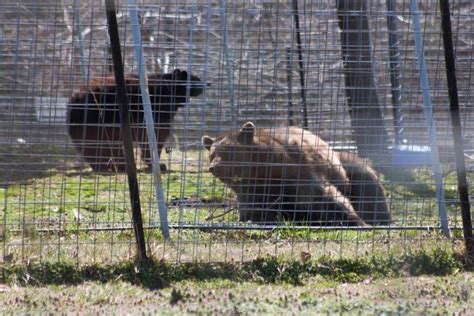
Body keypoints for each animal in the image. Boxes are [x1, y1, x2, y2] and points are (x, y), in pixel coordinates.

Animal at [67, 69, 206, 173]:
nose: (207, 84)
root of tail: (74, 98)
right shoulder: (156, 109)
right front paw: (157, 164)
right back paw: (112, 165)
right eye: (197, 79)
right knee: (98, 143)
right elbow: (155, 135)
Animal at [202, 121, 390, 227]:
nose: (213, 167)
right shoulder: (251, 190)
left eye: (228, 150)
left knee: (367, 183)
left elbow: (323, 197)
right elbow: (254, 209)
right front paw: (254, 219)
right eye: (212, 154)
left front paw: (358, 221)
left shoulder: (297, 171)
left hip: (345, 168)